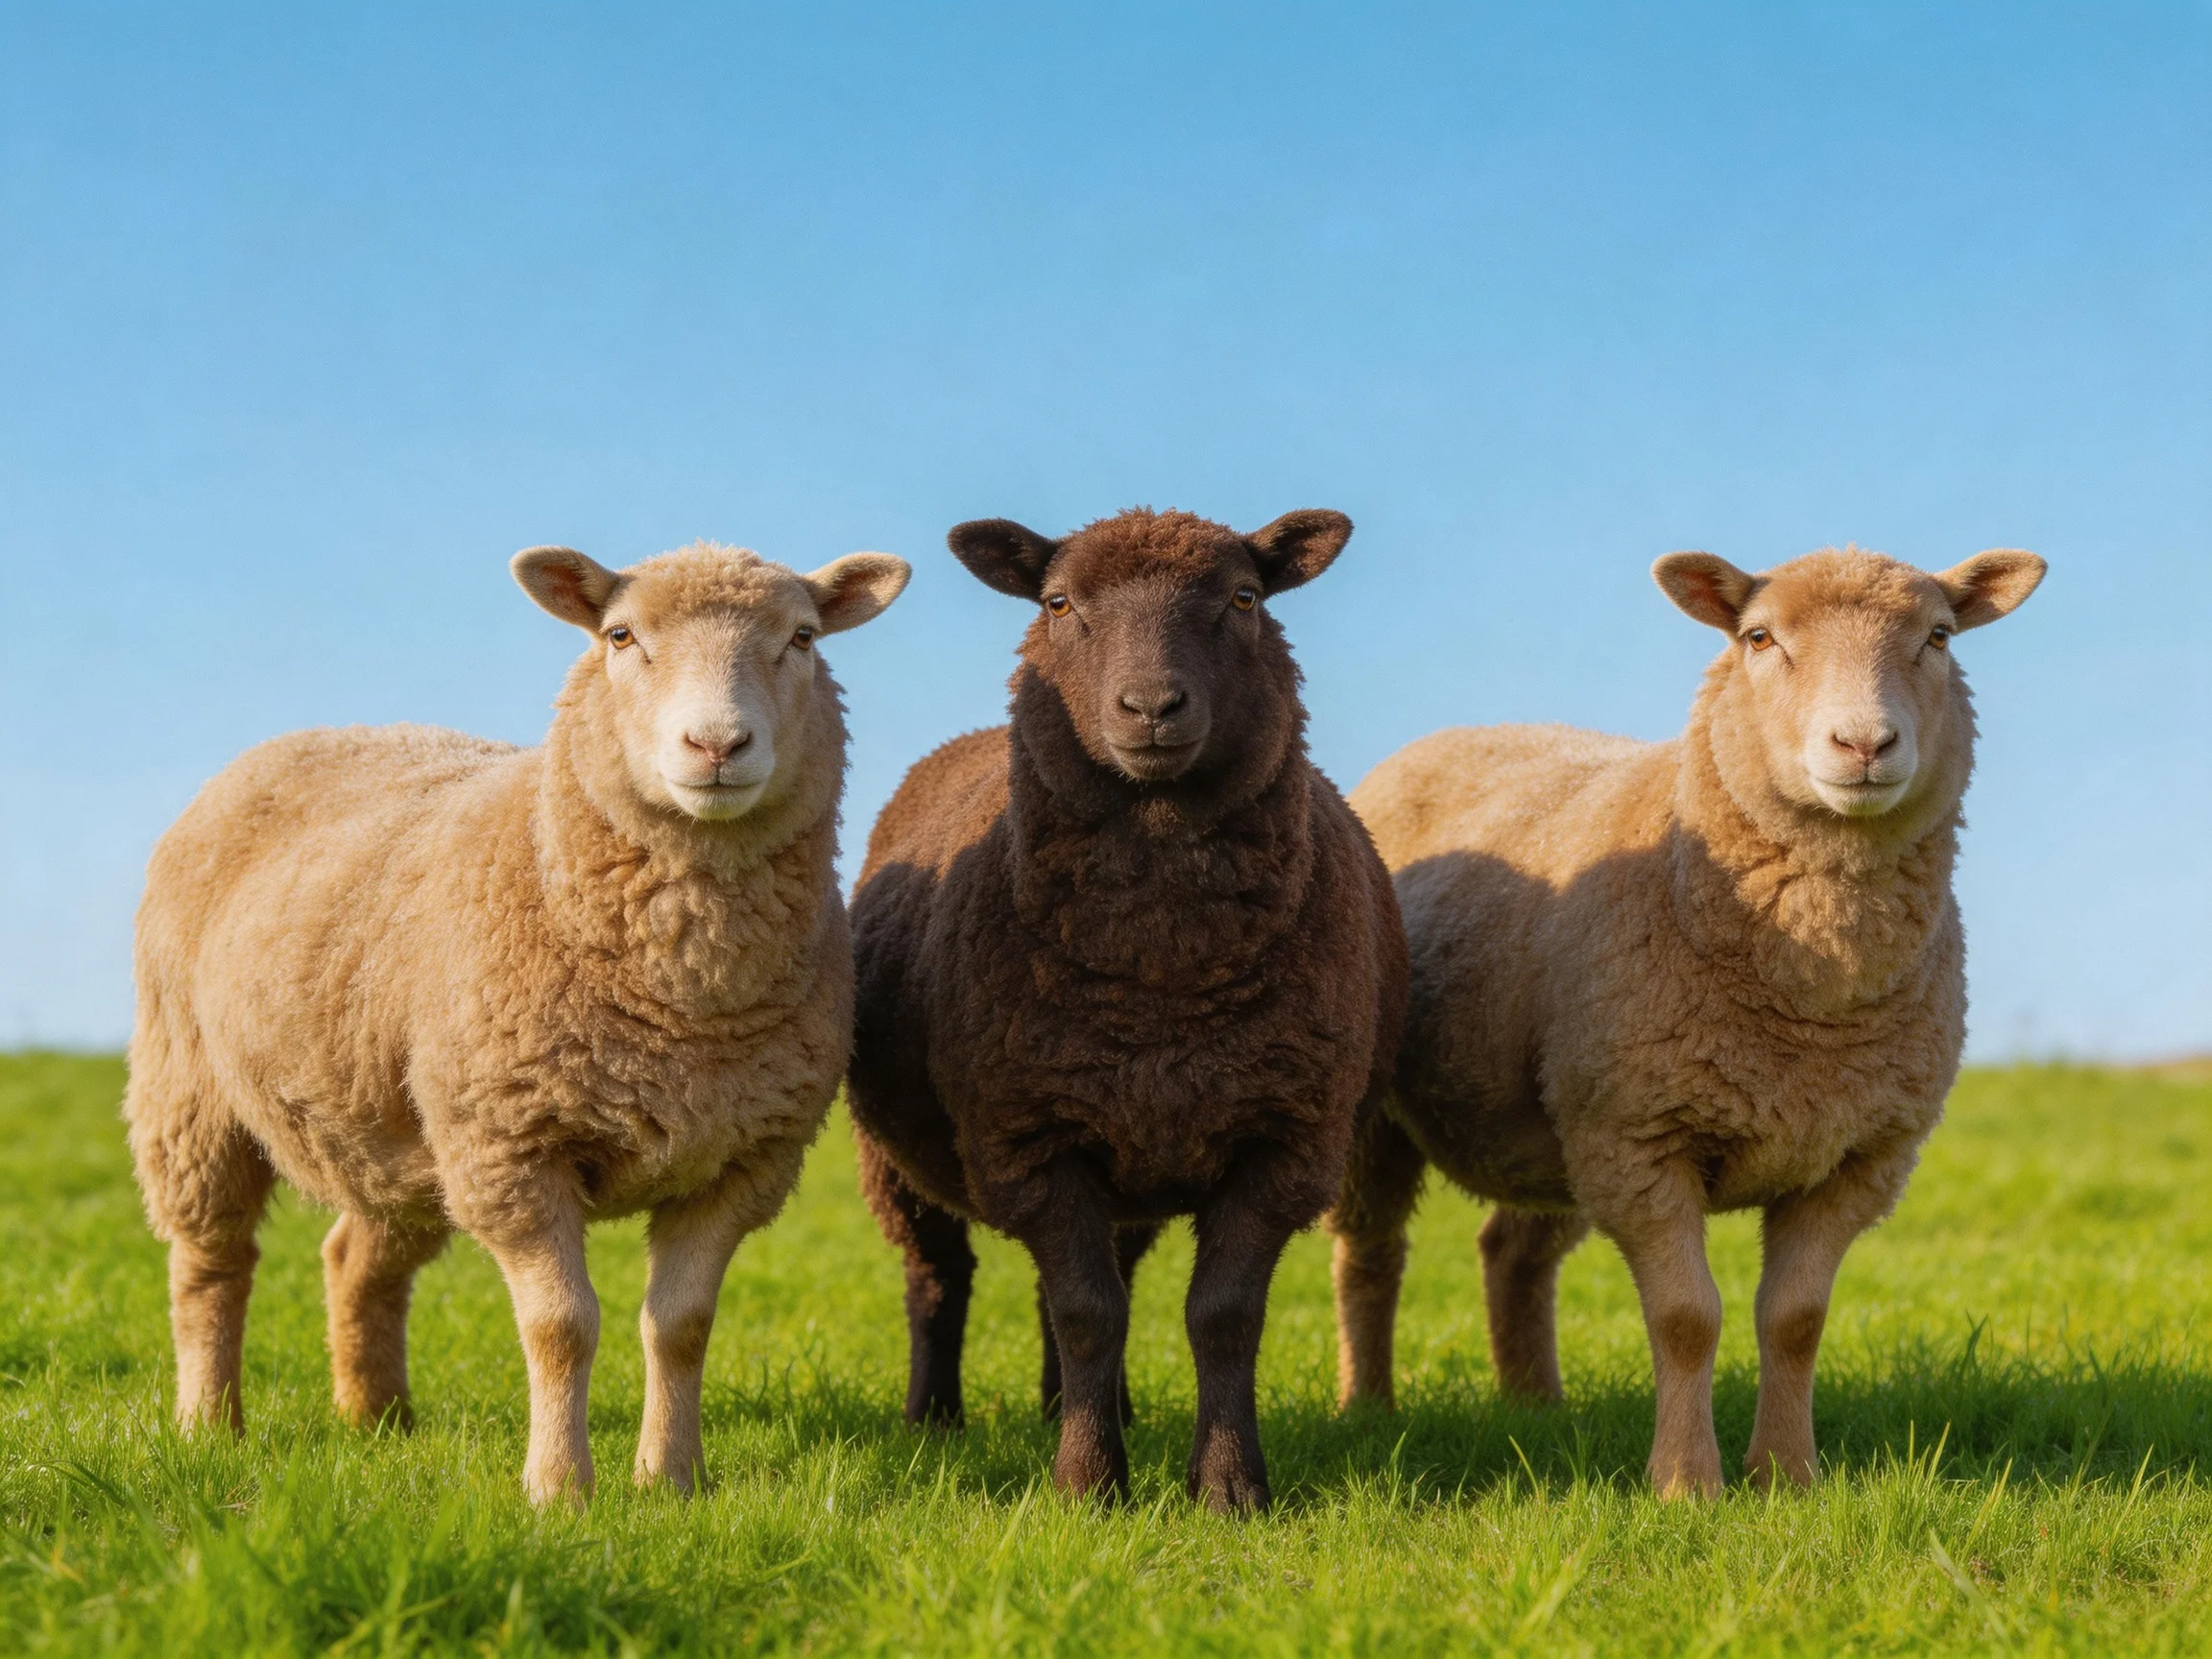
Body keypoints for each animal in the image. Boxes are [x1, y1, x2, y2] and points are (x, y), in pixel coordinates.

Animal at [124, 539, 909, 1504]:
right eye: (620, 636)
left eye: (802, 637)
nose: (717, 744)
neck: (683, 1002)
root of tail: (304, 735)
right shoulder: (514, 1146)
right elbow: (562, 1326)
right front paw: (560, 1489)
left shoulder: (740, 1161)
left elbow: (682, 1325)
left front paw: (670, 1480)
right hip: (191, 1087)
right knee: (210, 1263)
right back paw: (207, 1426)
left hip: (406, 1128)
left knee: (356, 1258)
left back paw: (377, 1420)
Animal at [845, 507, 1407, 1513]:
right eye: (1059, 604)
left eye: (1244, 597)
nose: (1150, 708)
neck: (1160, 976)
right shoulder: (1031, 1136)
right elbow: (1085, 1310)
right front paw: (1086, 1486)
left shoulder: (1282, 1139)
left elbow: (1218, 1316)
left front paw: (1227, 1488)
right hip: (897, 1161)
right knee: (939, 1281)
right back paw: (935, 1416)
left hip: (1136, 1154)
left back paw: (1083, 1406)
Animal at [1331, 544, 2044, 1497]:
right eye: (1759, 638)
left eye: (1938, 636)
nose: (1863, 745)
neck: (1810, 1003)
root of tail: (1453, 734)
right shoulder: (1642, 1139)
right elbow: (1684, 1318)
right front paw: (1684, 1484)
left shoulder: (1857, 1158)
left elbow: (1795, 1319)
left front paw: (1786, 1472)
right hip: (1401, 1114)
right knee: (1371, 1255)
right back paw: (1367, 1410)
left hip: (1557, 1122)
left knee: (1513, 1253)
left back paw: (1537, 1409)